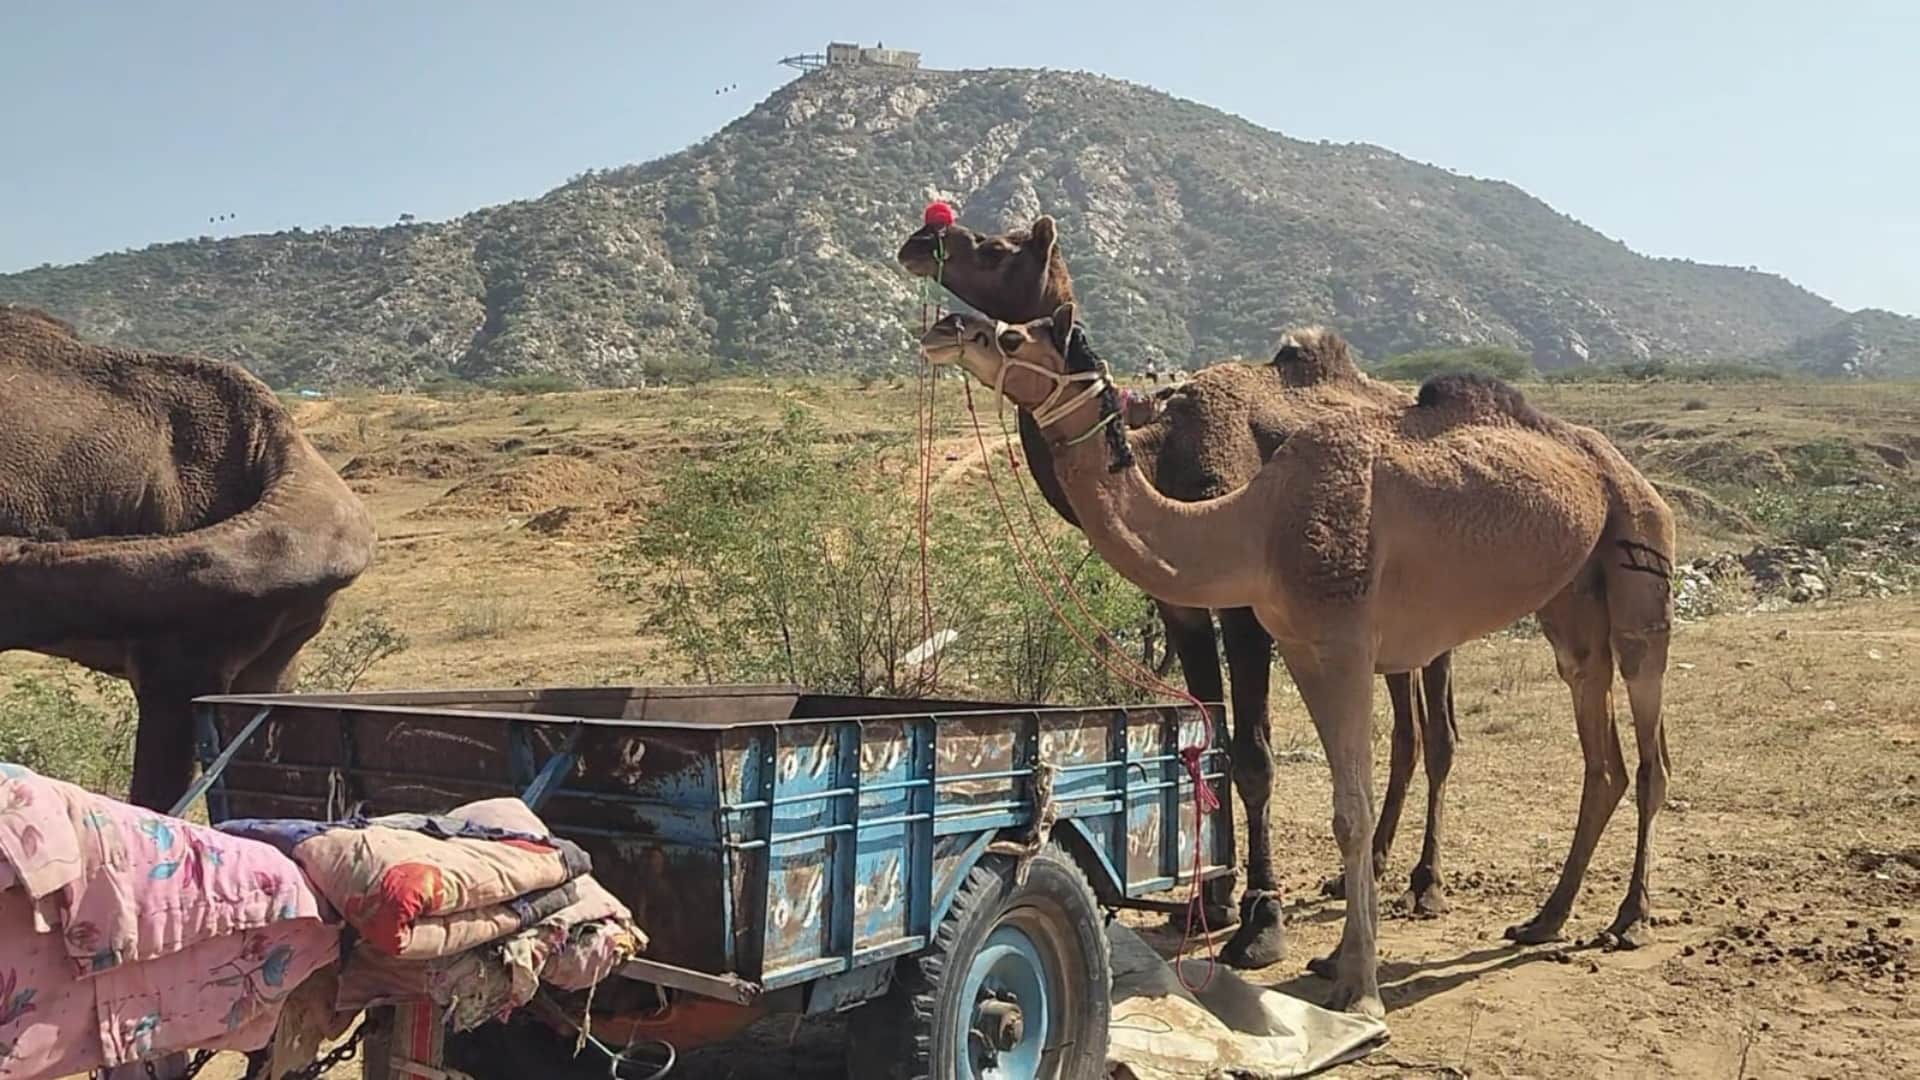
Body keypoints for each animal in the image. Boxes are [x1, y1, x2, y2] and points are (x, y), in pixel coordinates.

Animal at [898, 215, 1462, 969]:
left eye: (997, 247)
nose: (920, 240)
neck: (1164, 457)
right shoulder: (1183, 613)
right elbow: (1212, 742)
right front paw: (1212, 898)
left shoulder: (1245, 611)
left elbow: (1254, 758)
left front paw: (1261, 921)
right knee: (1405, 731)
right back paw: (1362, 869)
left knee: (1442, 734)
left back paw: (1426, 883)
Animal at [919, 306, 1676, 1018]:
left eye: (1012, 336)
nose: (946, 325)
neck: (1252, 525)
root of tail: (1622, 467)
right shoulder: (1305, 648)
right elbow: (1343, 806)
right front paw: (1335, 959)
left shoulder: (1344, 643)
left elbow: (1351, 810)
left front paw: (1359, 987)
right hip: (1571, 601)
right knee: (1598, 743)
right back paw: (1545, 919)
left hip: (1642, 555)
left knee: (1648, 748)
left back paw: (1628, 919)